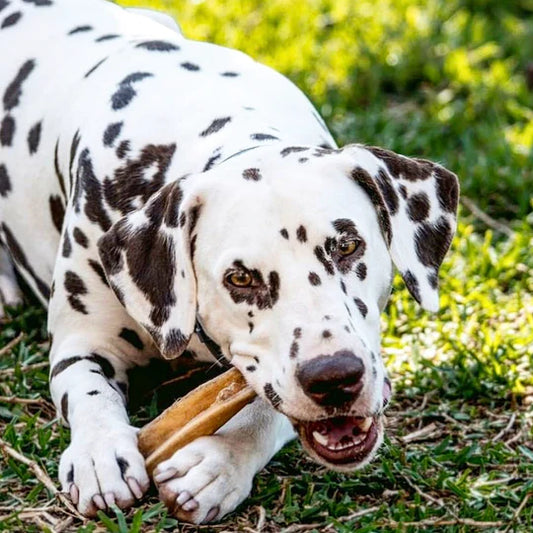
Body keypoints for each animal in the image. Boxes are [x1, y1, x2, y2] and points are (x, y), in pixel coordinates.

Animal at [0, 0, 458, 524]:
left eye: (347, 247)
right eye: (240, 278)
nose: (334, 377)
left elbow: (262, 403)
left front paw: (219, 460)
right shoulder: (81, 344)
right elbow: (88, 392)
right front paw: (100, 451)